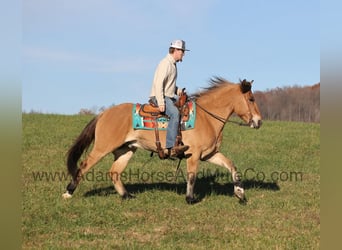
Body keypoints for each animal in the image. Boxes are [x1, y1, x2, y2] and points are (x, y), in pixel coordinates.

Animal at [62, 77, 264, 203]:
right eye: (251, 99)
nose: (259, 121)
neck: (206, 118)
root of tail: (104, 113)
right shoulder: (194, 154)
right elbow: (192, 176)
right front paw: (190, 198)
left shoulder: (210, 154)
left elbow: (232, 165)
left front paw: (240, 193)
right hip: (102, 147)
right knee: (84, 166)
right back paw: (68, 192)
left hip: (126, 149)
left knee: (114, 172)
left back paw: (127, 196)